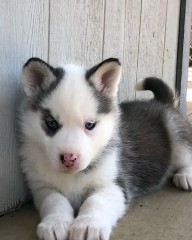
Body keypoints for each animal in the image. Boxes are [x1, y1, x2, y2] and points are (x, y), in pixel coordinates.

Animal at [19, 56, 192, 240]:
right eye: (51, 123)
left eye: (90, 124)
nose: (69, 158)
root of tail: (161, 103)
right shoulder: (41, 187)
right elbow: (54, 200)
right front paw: (55, 222)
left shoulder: (114, 185)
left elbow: (95, 201)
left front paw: (88, 224)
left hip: (175, 130)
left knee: (187, 156)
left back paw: (186, 175)